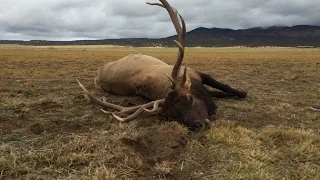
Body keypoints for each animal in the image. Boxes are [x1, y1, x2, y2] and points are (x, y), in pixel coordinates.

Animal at [77, 0, 248, 131]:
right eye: (172, 116)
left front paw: (242, 91)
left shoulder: (197, 73)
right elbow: (219, 92)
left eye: (189, 99)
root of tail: (99, 72)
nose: (198, 125)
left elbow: (224, 87)